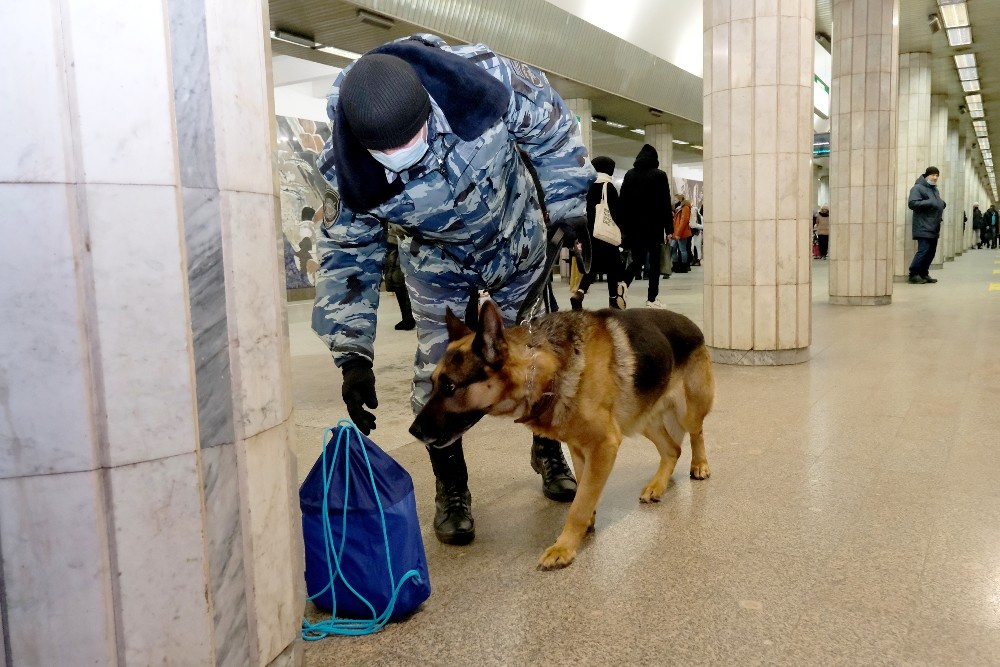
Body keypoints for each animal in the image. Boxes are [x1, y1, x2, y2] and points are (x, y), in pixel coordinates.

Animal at [410, 300, 716, 572]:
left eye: (449, 387)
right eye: (432, 384)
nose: (413, 431)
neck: (545, 371)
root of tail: (691, 323)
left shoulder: (603, 445)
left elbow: (578, 506)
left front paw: (564, 547)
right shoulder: (581, 448)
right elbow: (583, 491)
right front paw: (585, 526)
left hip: (688, 409)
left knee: (696, 433)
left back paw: (700, 465)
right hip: (642, 418)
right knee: (672, 449)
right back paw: (657, 484)